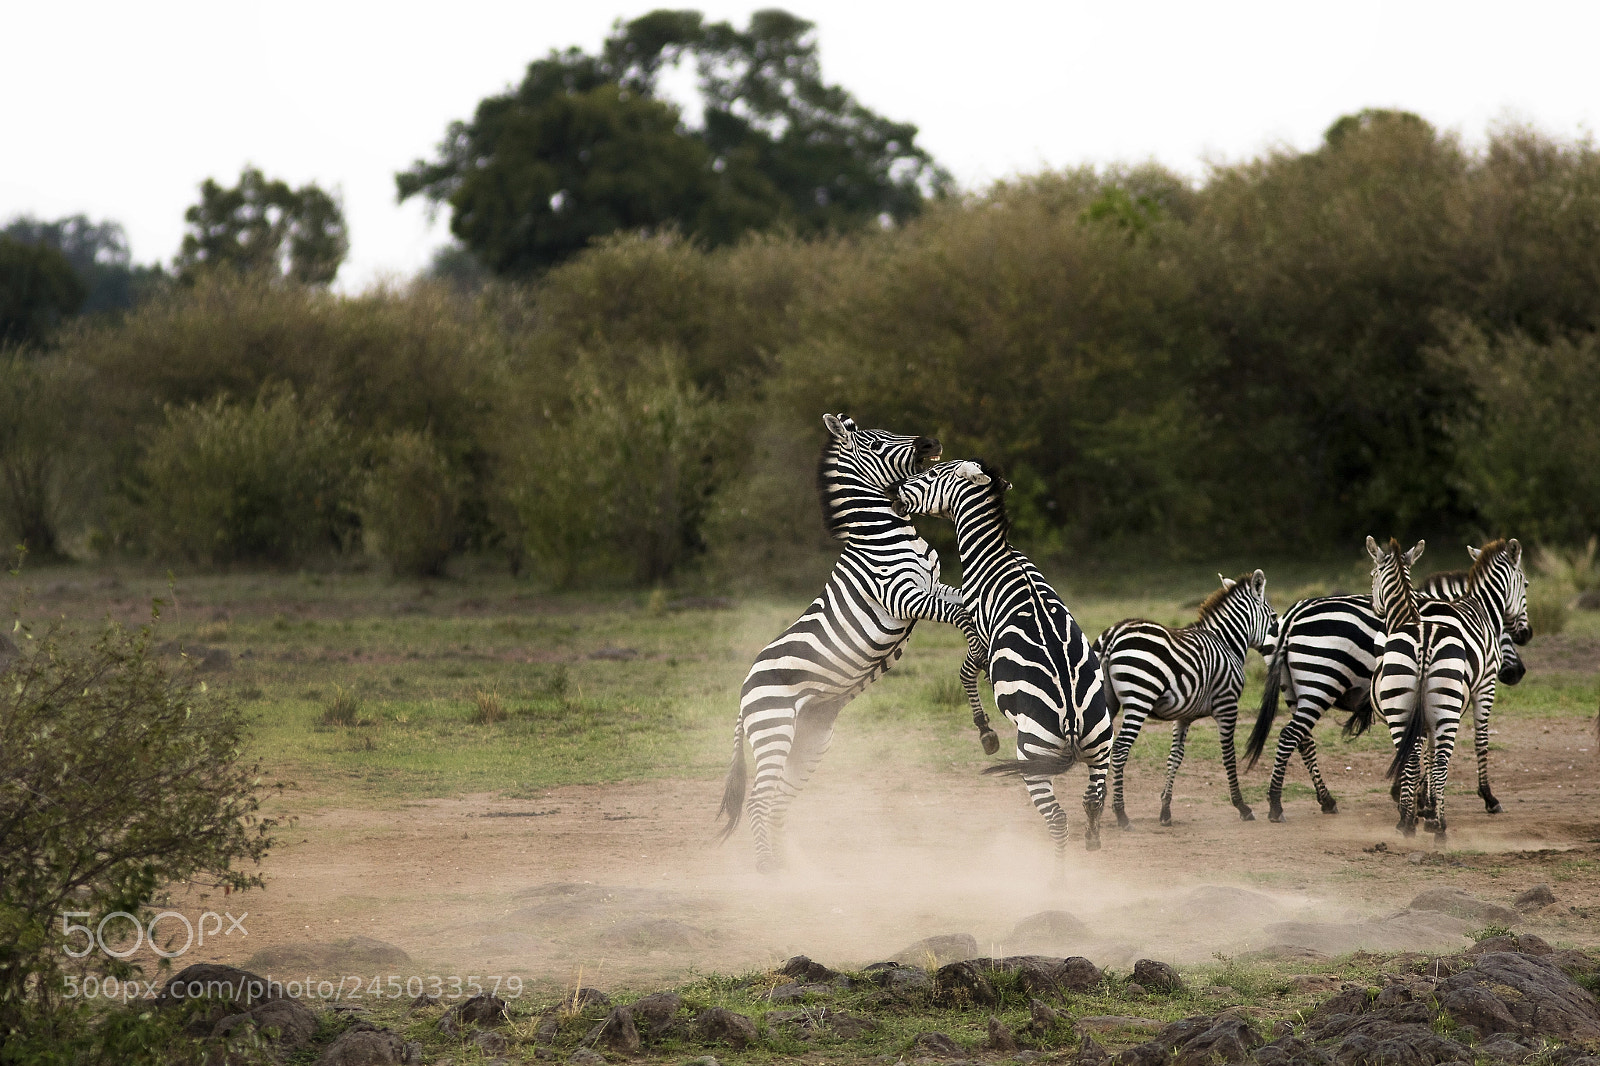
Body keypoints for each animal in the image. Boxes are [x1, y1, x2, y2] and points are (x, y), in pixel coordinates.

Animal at [716, 414, 991, 873]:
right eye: (877, 443)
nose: (933, 441)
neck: (886, 534)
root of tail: (743, 691)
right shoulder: (901, 596)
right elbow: (963, 617)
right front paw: (981, 656)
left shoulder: (934, 585)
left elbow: (966, 606)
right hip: (774, 730)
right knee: (758, 800)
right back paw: (768, 869)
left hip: (810, 740)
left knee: (778, 802)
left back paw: (793, 866)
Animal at [890, 459, 1115, 859]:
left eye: (930, 475)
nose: (894, 492)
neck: (994, 554)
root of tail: (1073, 720)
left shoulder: (979, 633)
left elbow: (966, 671)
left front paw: (985, 732)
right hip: (1101, 744)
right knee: (1093, 800)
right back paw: (1092, 839)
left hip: (1033, 756)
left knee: (1058, 819)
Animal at [1094, 570, 1279, 828]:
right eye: (1273, 617)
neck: (1227, 643)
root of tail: (1114, 634)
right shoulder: (1227, 704)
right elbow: (1228, 756)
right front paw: (1242, 806)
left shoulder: (1183, 716)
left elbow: (1175, 757)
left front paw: (1165, 810)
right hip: (1139, 699)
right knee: (1120, 748)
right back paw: (1121, 814)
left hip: (1107, 700)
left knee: (1103, 746)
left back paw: (1097, 807)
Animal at [1244, 547, 1531, 822]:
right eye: (1526, 585)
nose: (1517, 672)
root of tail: (1293, 615)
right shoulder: (1479, 684)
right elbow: (1477, 738)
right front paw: (1485, 797)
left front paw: (1412, 796)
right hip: (1321, 684)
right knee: (1291, 735)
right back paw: (1277, 804)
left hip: (1293, 689)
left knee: (1303, 740)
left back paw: (1326, 800)